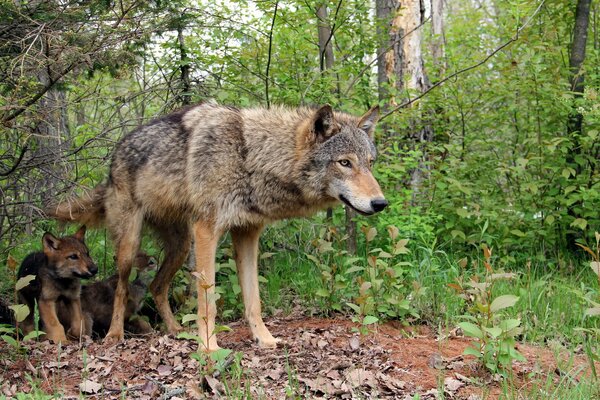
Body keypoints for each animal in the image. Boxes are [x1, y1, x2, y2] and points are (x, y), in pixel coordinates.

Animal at [51, 101, 390, 350]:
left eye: (370, 163)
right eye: (344, 163)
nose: (380, 203)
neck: (249, 156)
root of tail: (113, 159)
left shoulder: (247, 234)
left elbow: (253, 301)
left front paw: (264, 340)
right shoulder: (207, 231)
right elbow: (207, 302)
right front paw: (209, 348)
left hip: (180, 246)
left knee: (158, 287)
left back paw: (175, 331)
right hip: (132, 245)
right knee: (121, 287)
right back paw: (115, 335)